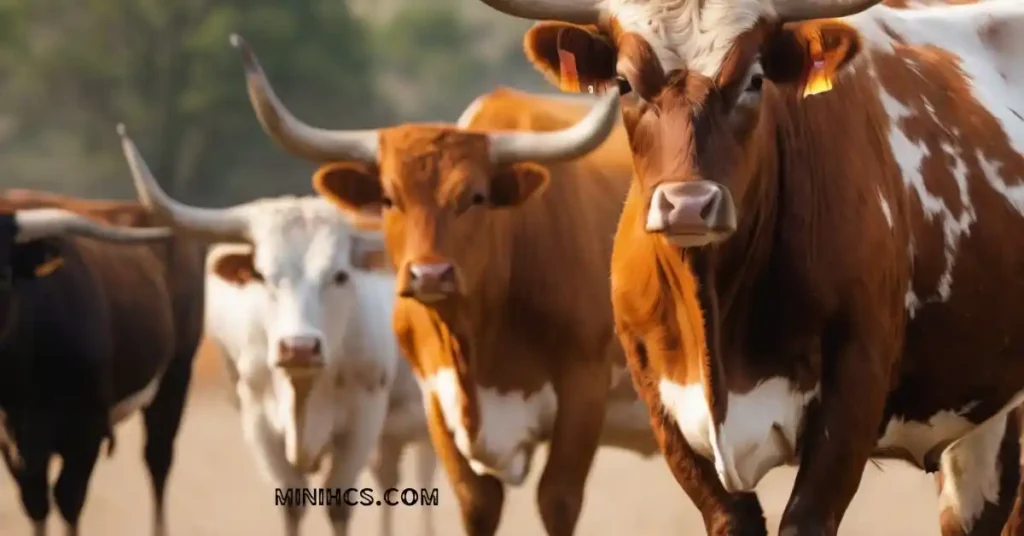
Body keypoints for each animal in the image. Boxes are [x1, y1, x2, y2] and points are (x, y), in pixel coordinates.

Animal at [0, 190, 205, 536]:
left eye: (1, 276)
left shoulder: (87, 429)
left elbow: (69, 499)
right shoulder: (13, 439)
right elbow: (35, 501)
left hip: (176, 376)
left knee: (158, 461)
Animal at [117, 126, 438, 536]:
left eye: (340, 275)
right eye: (263, 275)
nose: (298, 347)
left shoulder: (361, 422)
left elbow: (339, 503)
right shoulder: (259, 422)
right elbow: (292, 502)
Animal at [228, 33, 659, 536]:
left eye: (475, 197)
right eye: (389, 198)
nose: (429, 274)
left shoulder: (583, 389)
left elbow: (558, 499)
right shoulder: (437, 402)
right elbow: (476, 503)